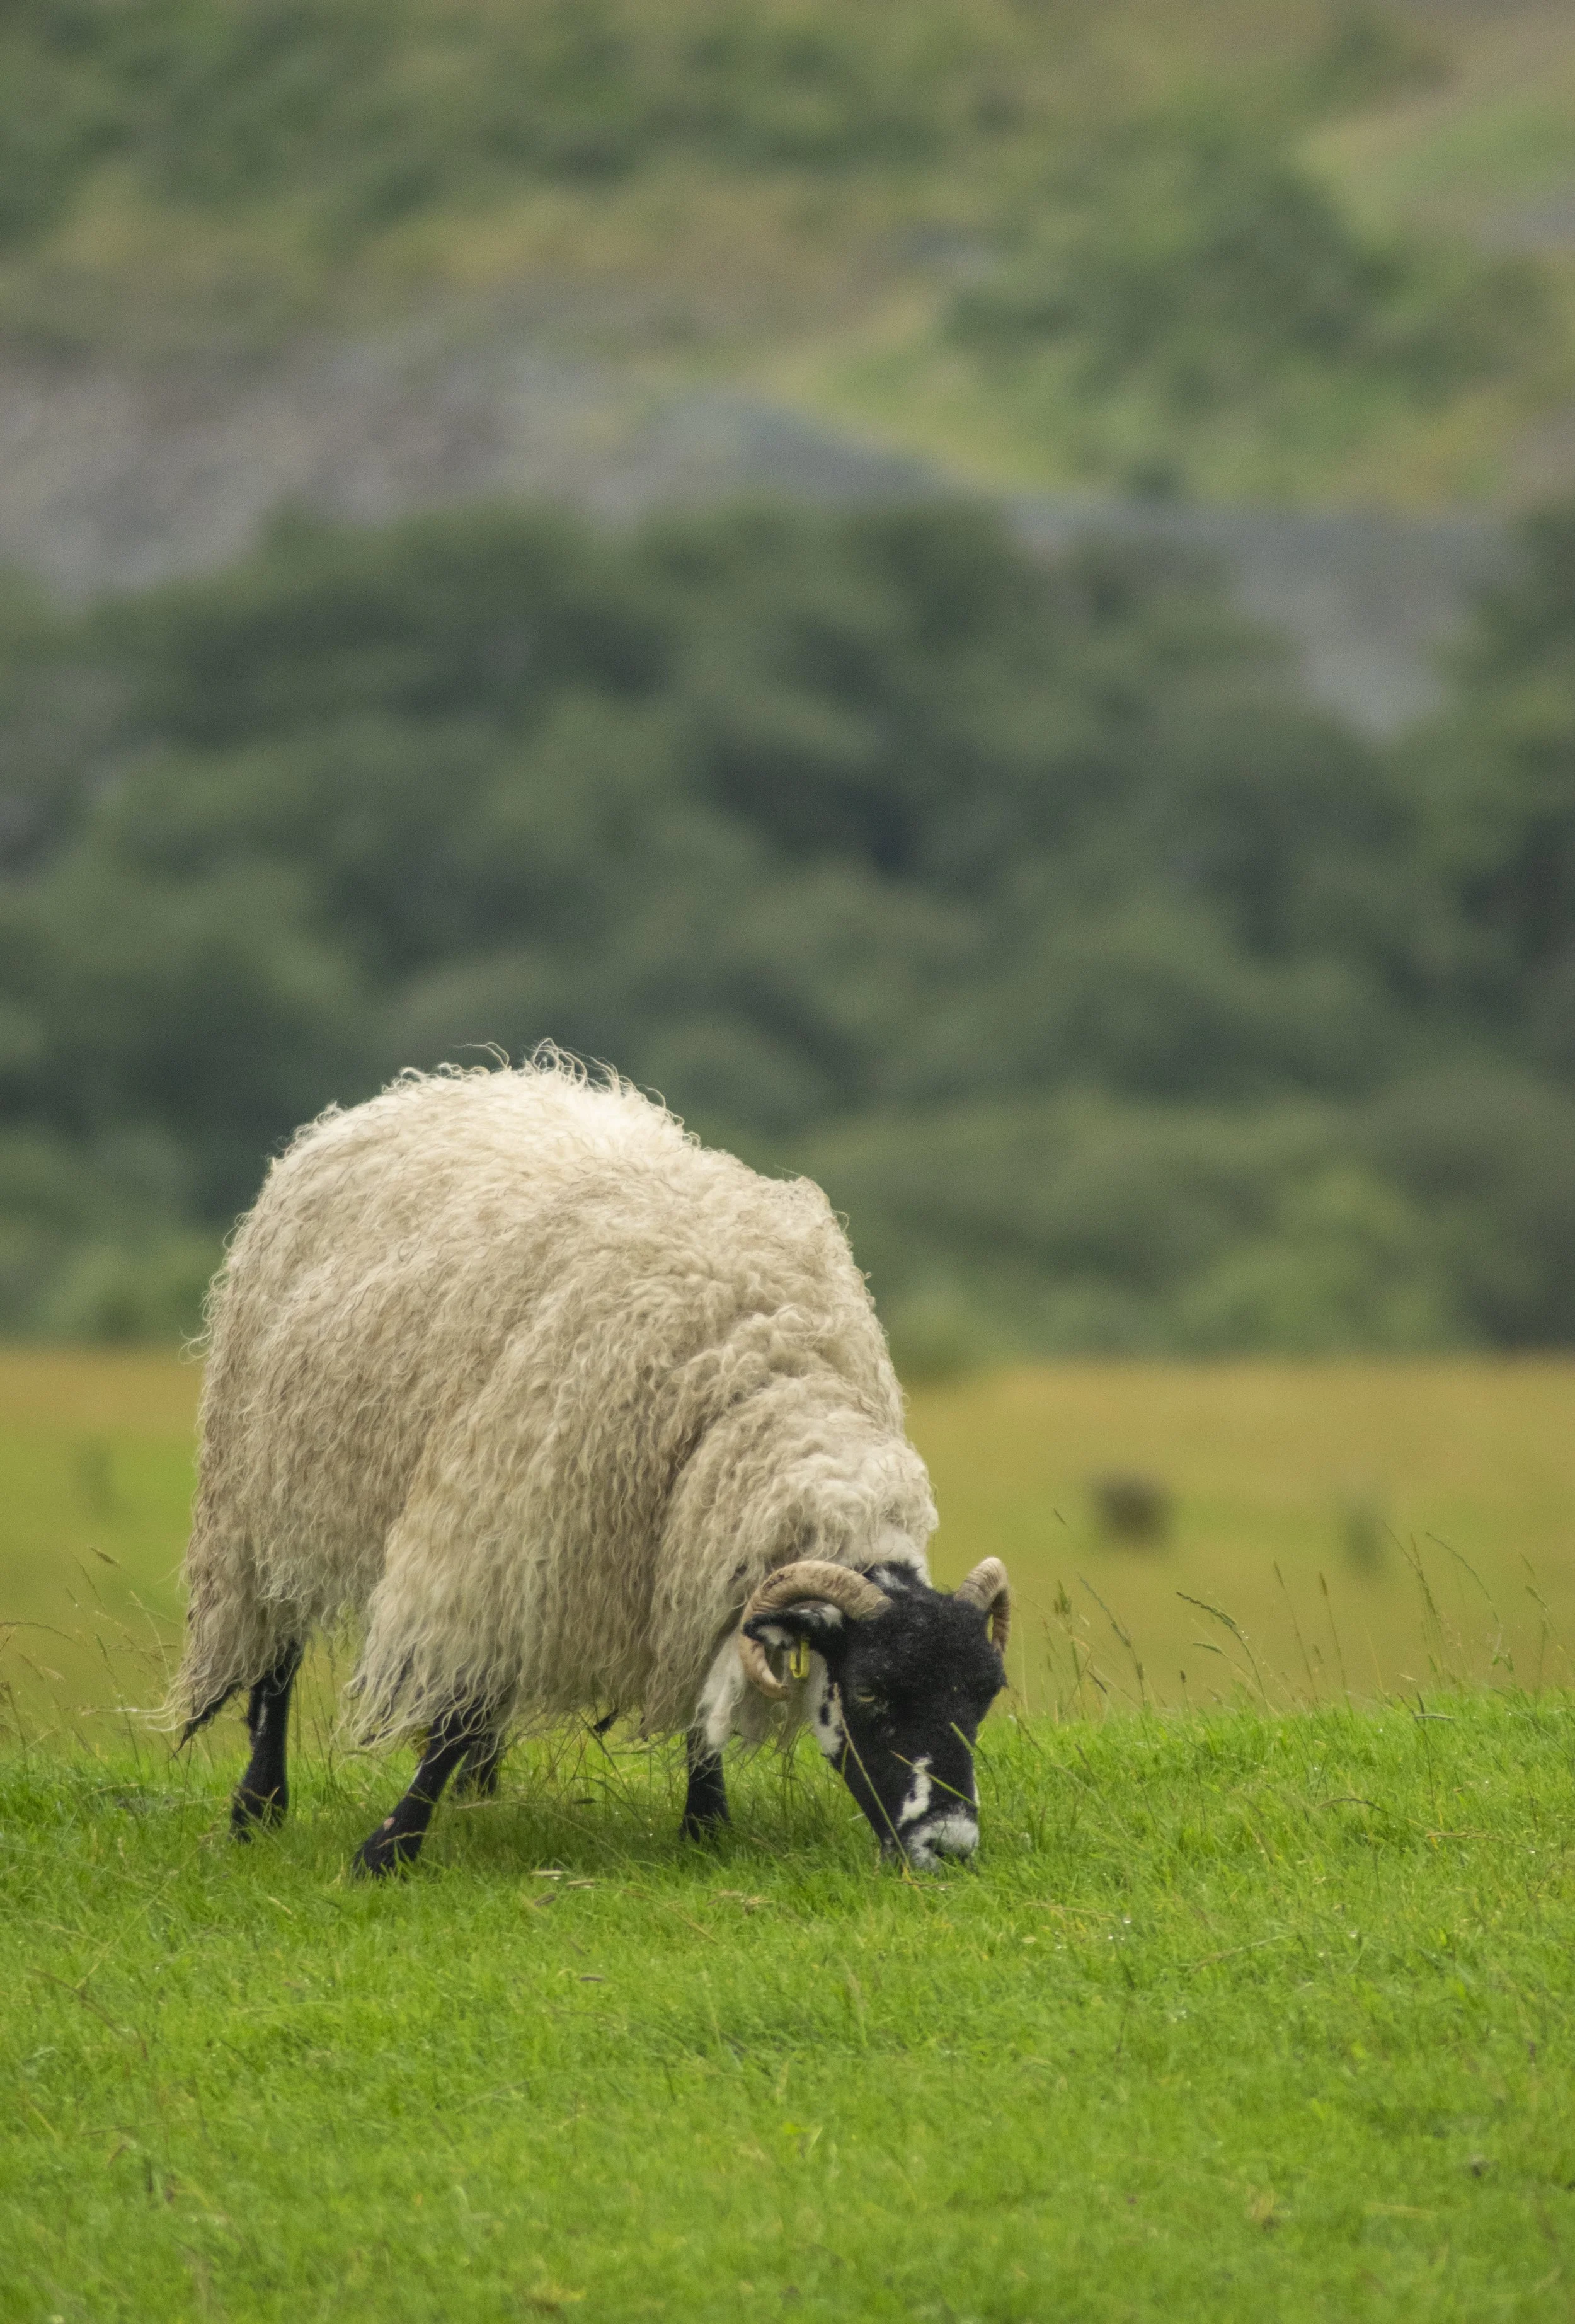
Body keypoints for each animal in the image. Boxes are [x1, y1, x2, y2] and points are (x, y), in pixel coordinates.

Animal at [173, 1056, 1011, 1874]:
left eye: (985, 1695)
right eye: (869, 1692)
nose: (948, 1848)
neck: (757, 1376)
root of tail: (434, 1085)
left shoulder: (693, 1563)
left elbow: (700, 1701)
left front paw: (705, 1826)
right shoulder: (495, 1534)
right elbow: (448, 1716)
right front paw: (388, 1849)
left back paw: (480, 1788)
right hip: (263, 1495)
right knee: (275, 1657)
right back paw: (258, 1807)